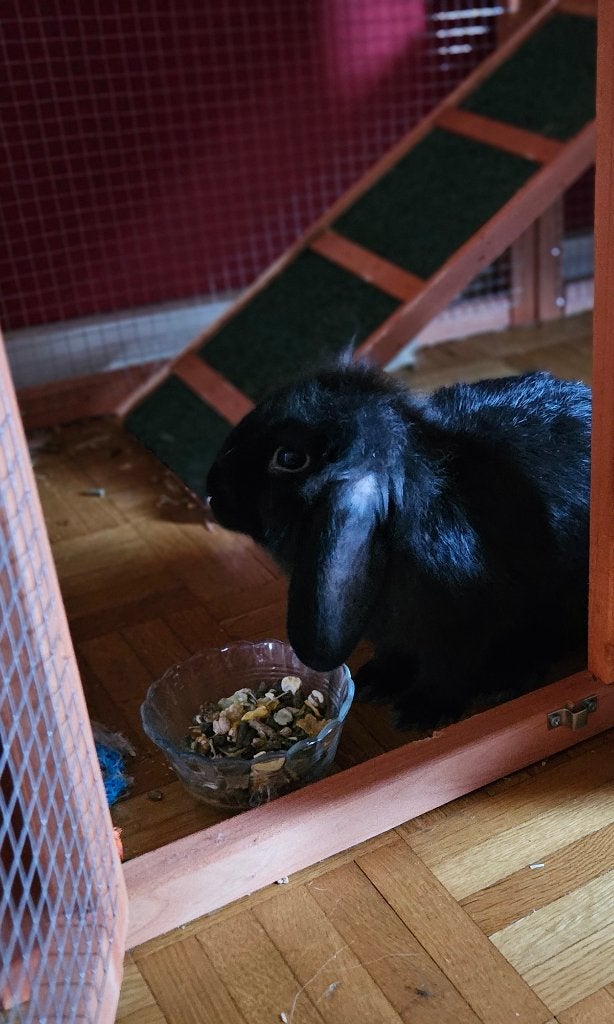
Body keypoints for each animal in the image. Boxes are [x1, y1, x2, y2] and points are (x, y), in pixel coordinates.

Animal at [206, 362, 591, 730]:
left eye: (289, 458)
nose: (211, 492)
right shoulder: (389, 631)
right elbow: (394, 652)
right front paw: (375, 681)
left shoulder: (459, 631)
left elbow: (447, 671)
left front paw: (419, 712)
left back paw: (506, 676)